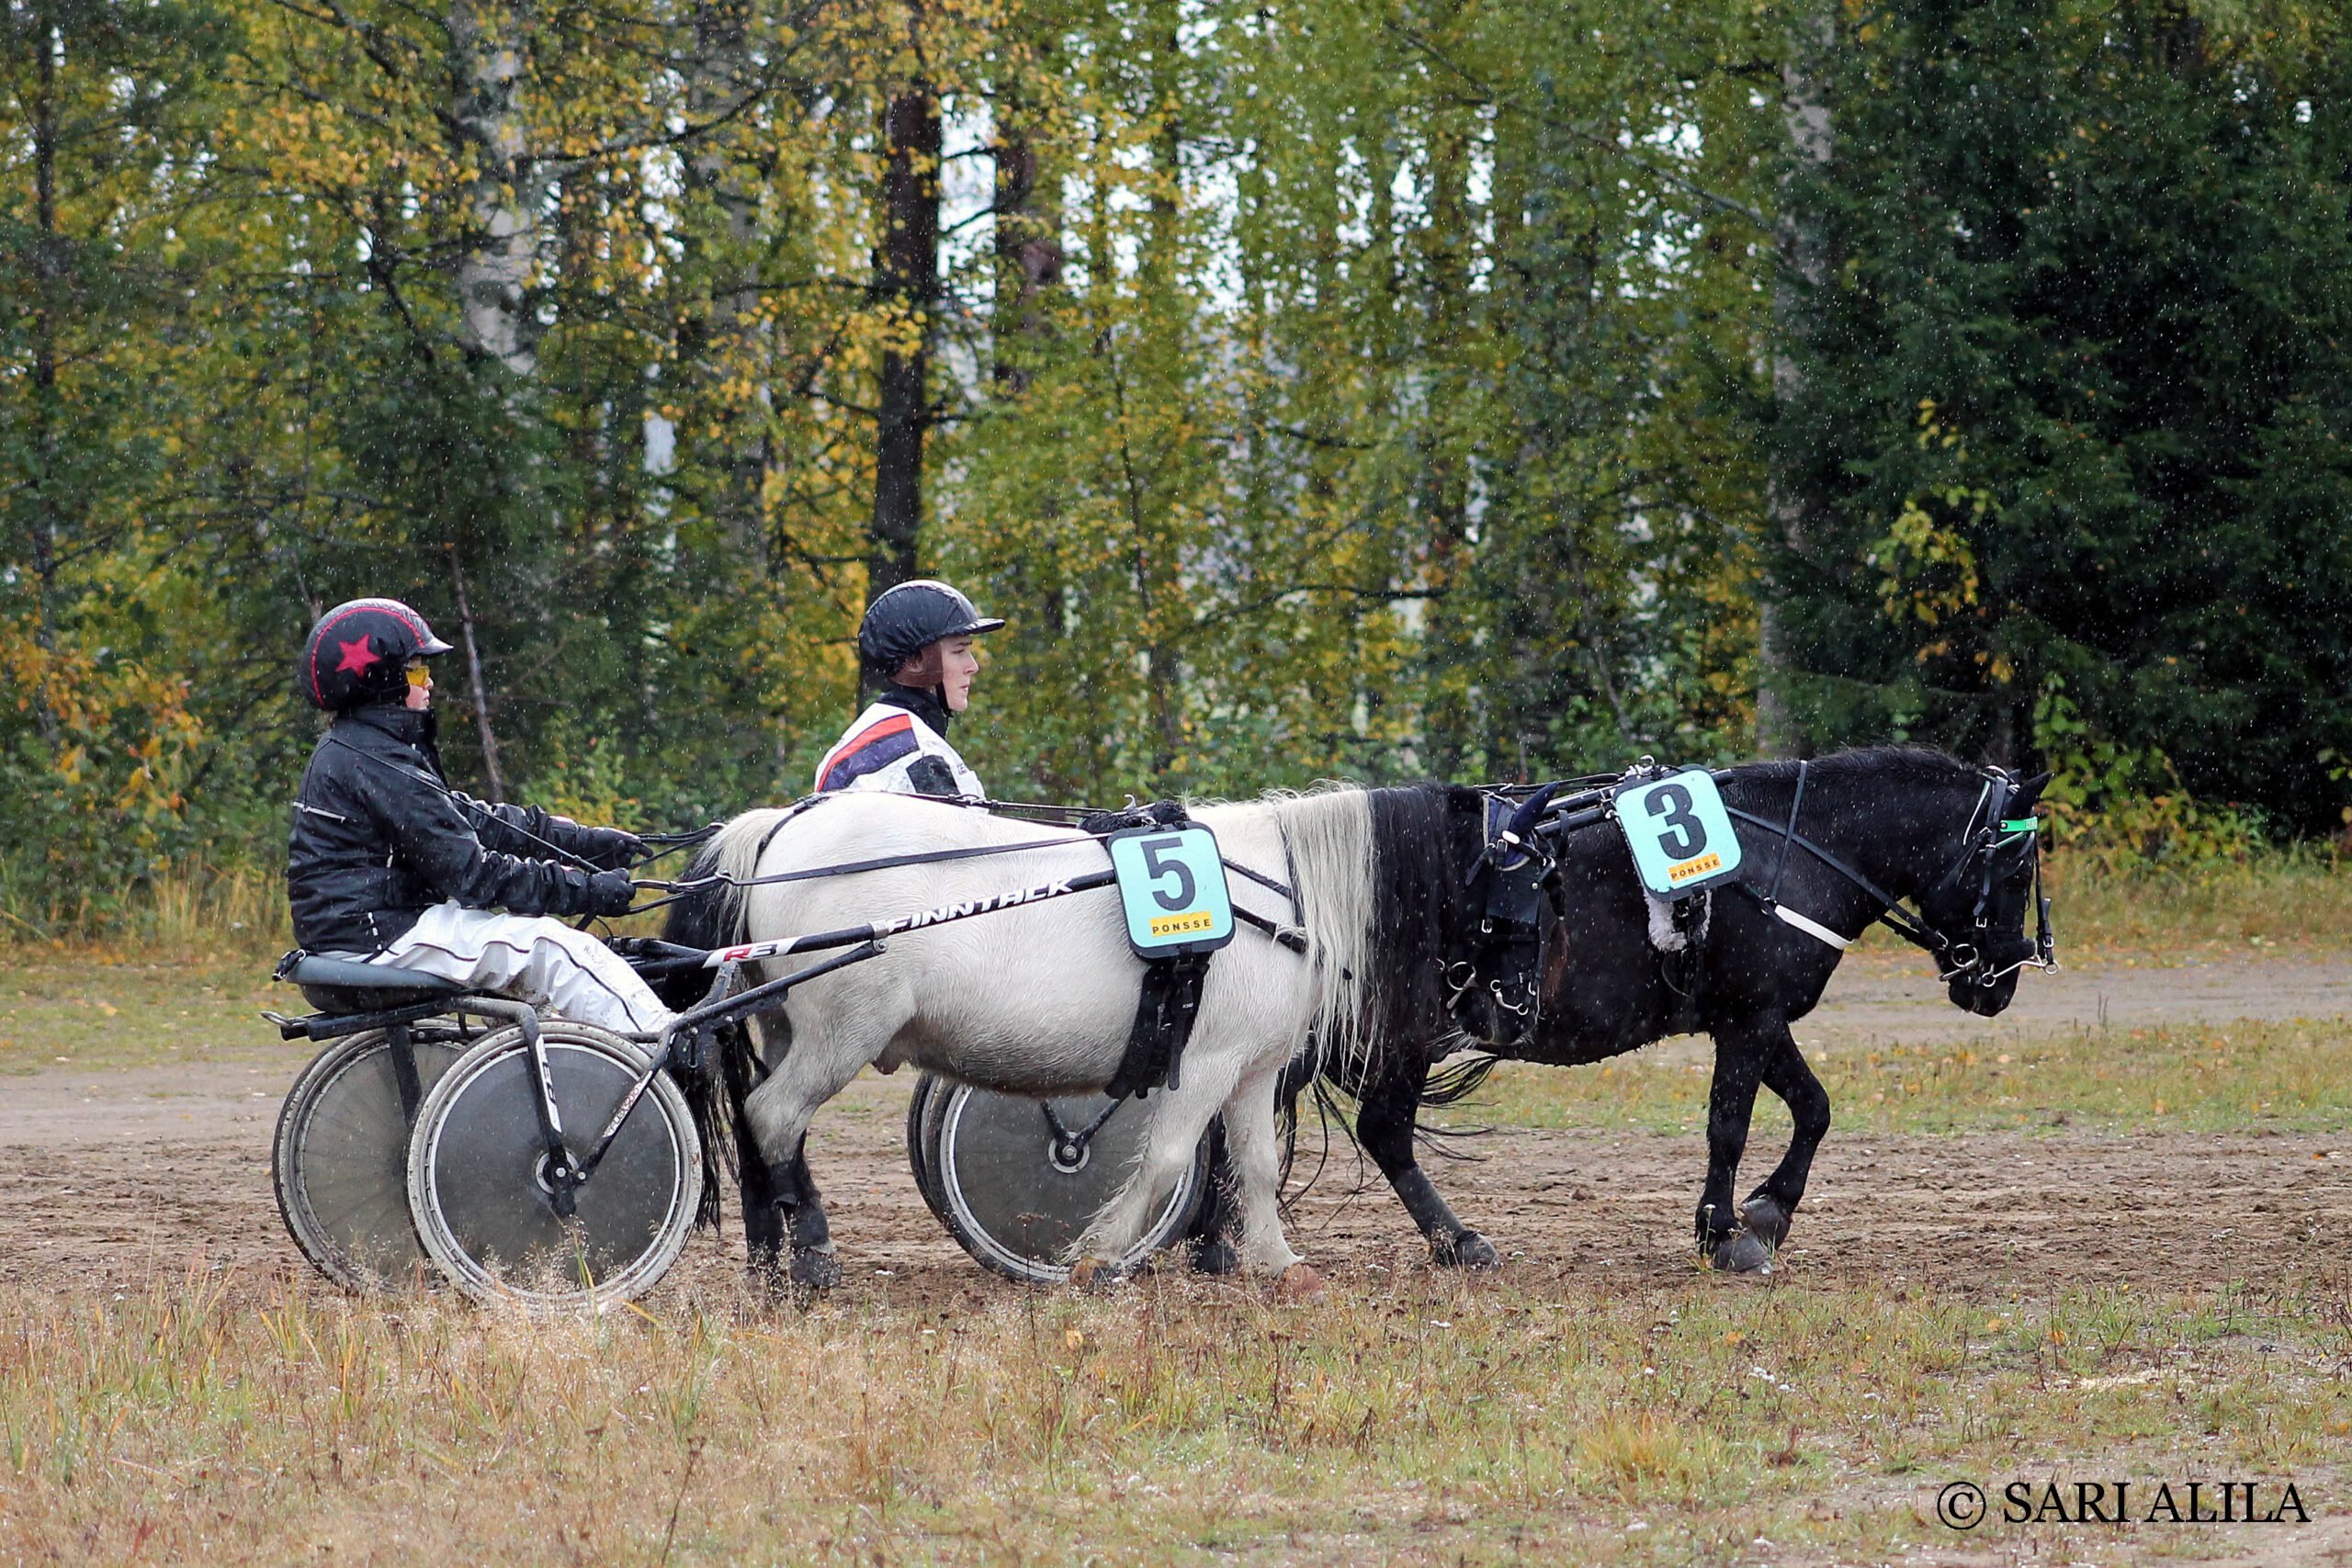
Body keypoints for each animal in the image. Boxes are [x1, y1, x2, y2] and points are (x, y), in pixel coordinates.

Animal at [657, 783, 1527, 1292]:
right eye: (1517, 873)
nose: (1509, 1010)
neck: (1278, 890)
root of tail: (775, 834)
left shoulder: (1251, 1068)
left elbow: (1254, 1162)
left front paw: (1279, 1263)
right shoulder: (1205, 1062)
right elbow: (1169, 1156)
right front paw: (1101, 1252)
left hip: (784, 1026)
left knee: (756, 1121)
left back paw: (766, 1252)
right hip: (839, 1033)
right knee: (775, 1116)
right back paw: (809, 1250)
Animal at [1193, 748, 2053, 1275]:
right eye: (2015, 866)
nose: (2003, 979)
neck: (1789, 849)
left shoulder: (1754, 1017)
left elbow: (1814, 1107)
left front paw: (1768, 1210)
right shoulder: (1751, 1018)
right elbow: (1730, 1125)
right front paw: (1724, 1232)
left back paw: (1218, 1243)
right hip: (1388, 1035)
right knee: (1354, 1127)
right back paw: (1449, 1239)